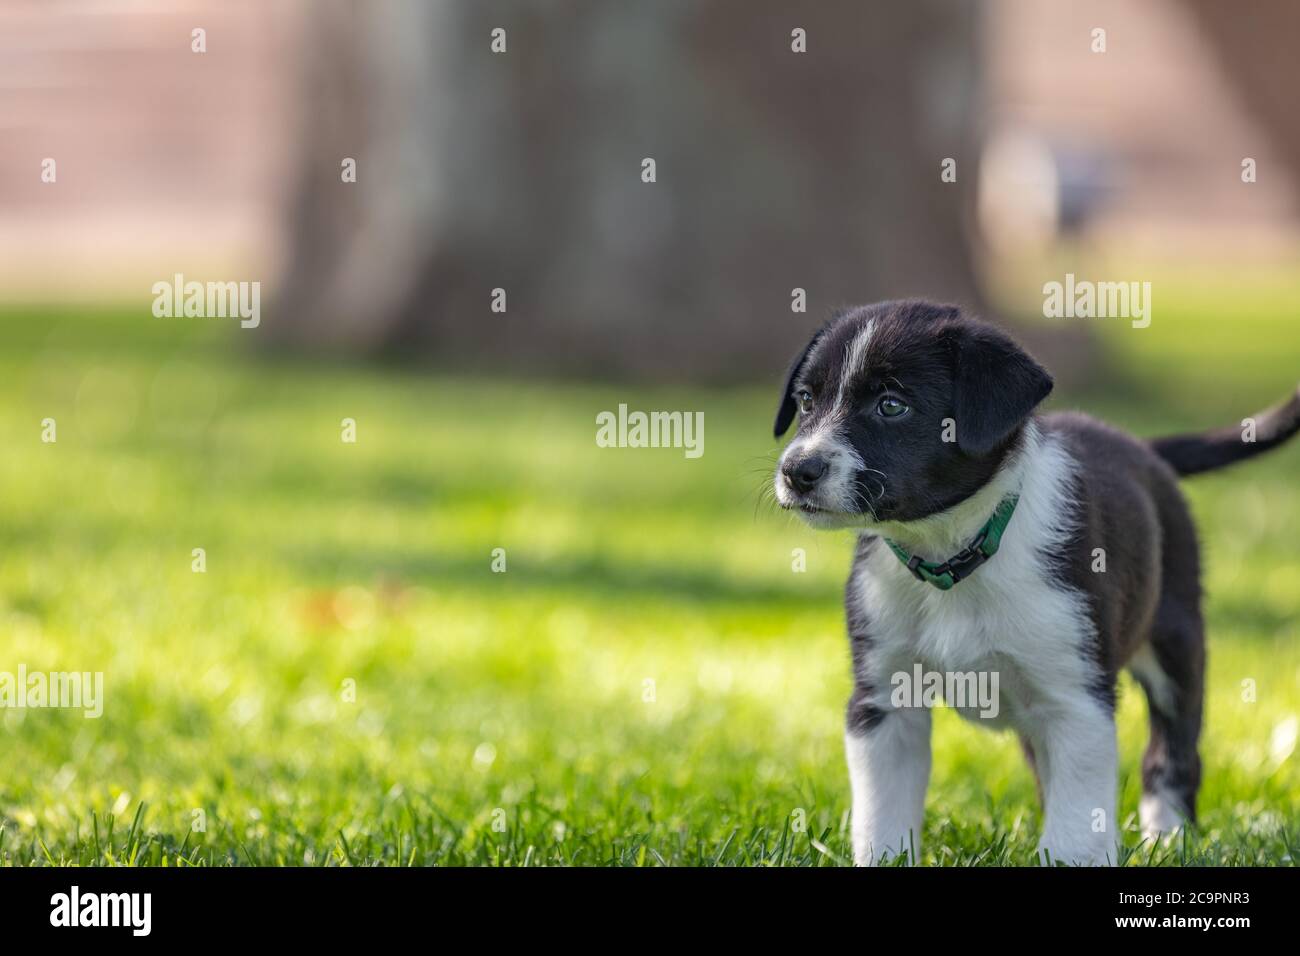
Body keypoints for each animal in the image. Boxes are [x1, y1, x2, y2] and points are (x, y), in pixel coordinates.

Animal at [769, 300, 1300, 868]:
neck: (954, 554)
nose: (797, 470)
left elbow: (1077, 822)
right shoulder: (884, 700)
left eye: (892, 406)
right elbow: (883, 817)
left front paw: (1077, 854)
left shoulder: (1078, 697)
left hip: (1177, 644)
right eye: (806, 400)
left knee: (1172, 752)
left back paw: (1168, 837)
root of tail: (1139, 446)